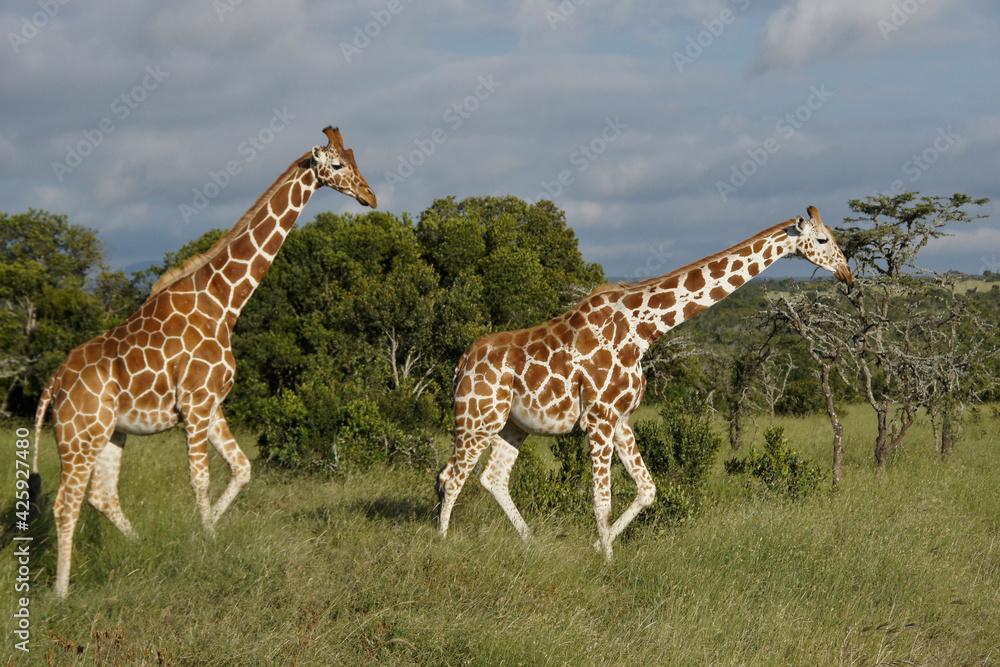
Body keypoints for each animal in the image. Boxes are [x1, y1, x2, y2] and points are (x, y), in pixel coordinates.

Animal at [32, 126, 376, 597]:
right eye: (338, 165)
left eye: (356, 160)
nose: (370, 197)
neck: (225, 301)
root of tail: (53, 383)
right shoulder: (195, 405)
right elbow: (201, 479)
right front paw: (204, 545)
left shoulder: (212, 405)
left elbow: (242, 469)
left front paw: (206, 534)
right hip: (77, 435)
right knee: (65, 504)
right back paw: (61, 592)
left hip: (111, 434)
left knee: (101, 496)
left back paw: (140, 548)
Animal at [437, 206, 852, 559]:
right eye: (822, 240)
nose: (848, 274)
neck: (642, 328)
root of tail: (461, 363)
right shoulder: (600, 419)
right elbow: (602, 501)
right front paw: (606, 563)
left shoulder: (620, 418)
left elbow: (647, 490)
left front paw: (598, 547)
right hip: (476, 420)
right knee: (452, 477)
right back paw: (440, 547)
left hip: (511, 425)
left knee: (491, 478)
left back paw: (532, 542)